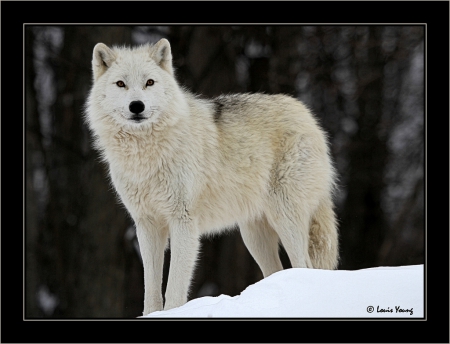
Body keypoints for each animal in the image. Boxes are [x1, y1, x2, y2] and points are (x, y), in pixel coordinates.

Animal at [85, 37, 338, 314]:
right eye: (121, 84)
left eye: (149, 83)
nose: (137, 106)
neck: (146, 153)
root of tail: (306, 114)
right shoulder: (147, 224)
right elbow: (150, 288)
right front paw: (152, 315)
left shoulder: (183, 221)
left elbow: (174, 286)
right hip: (254, 235)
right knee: (276, 270)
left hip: (285, 219)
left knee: (304, 265)